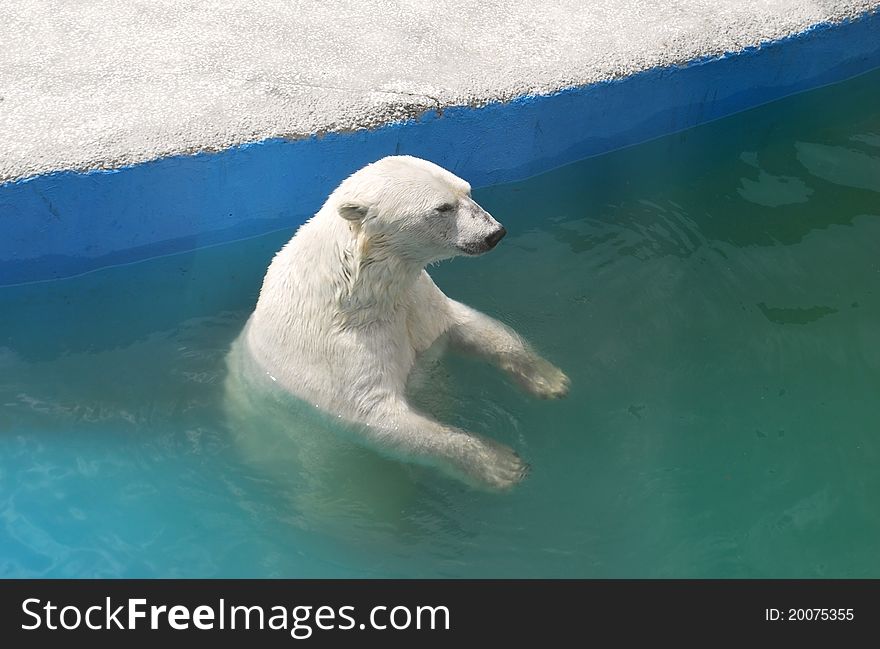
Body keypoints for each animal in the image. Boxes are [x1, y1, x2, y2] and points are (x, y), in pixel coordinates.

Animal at [225, 156, 572, 492]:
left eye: (468, 191)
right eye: (443, 207)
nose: (494, 233)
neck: (357, 295)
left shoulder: (417, 303)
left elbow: (467, 325)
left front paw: (549, 380)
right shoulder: (338, 350)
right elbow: (378, 416)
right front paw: (499, 464)